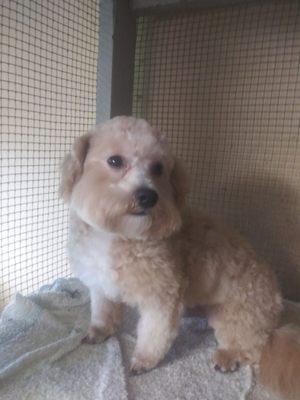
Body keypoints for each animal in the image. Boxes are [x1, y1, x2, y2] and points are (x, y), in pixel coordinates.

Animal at [60, 115, 300, 400]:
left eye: (158, 168)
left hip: (238, 315)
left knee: (253, 347)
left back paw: (227, 356)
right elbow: (102, 312)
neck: (120, 235)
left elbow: (155, 333)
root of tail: (276, 308)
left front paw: (144, 361)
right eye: (115, 161)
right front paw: (99, 332)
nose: (148, 196)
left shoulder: (162, 296)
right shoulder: (100, 285)